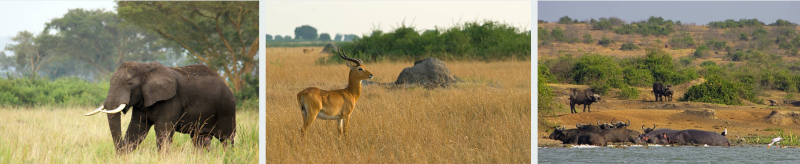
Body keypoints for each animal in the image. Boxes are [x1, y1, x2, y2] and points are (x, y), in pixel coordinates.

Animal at [84, 61, 236, 154]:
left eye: (129, 84)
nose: (119, 150)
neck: (145, 68)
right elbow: (137, 128)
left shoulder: (172, 99)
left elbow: (163, 129)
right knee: (198, 139)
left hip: (227, 109)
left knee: (227, 138)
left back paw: (229, 155)